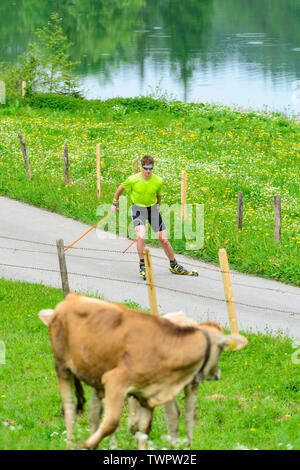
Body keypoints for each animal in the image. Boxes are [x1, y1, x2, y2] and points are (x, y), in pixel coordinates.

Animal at [38, 292, 247, 450]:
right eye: (221, 348)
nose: (217, 374)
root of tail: (70, 298)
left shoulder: (147, 395)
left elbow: (142, 429)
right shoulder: (113, 382)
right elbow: (110, 421)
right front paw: (90, 444)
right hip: (62, 368)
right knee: (69, 409)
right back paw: (71, 442)